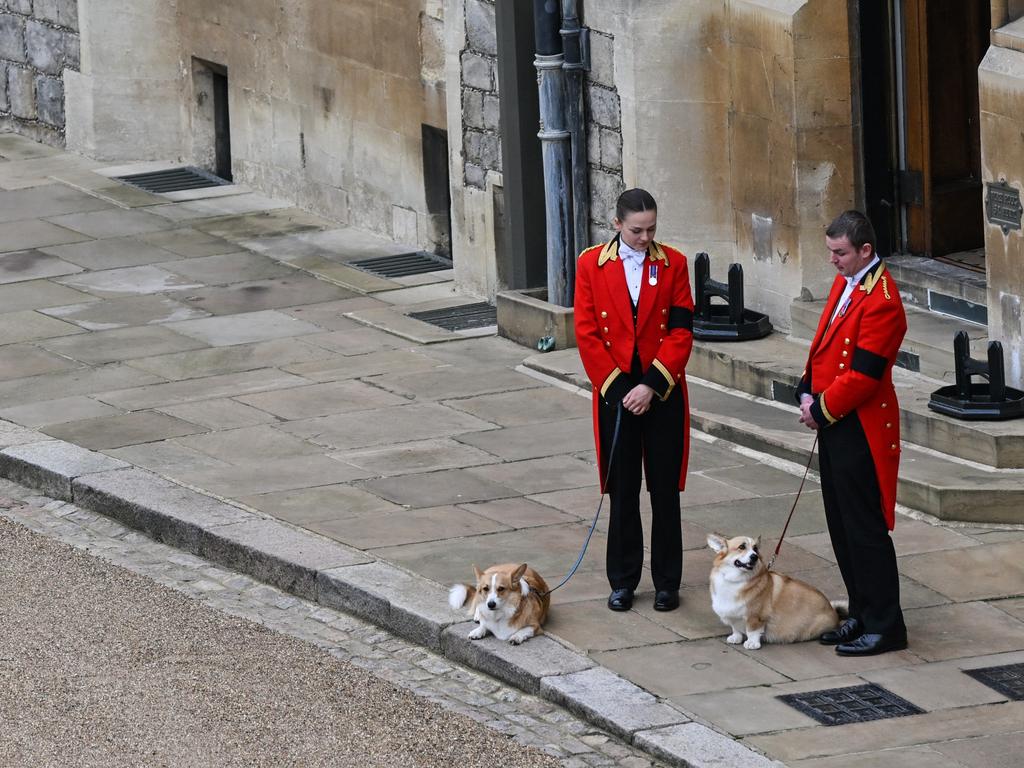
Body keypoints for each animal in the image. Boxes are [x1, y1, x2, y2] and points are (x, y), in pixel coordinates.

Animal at [708, 536, 843, 651]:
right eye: (742, 547)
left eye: (755, 549)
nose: (755, 557)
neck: (736, 580)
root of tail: (834, 612)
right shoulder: (733, 614)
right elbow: (735, 628)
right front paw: (736, 637)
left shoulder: (756, 617)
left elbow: (753, 631)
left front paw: (752, 643)